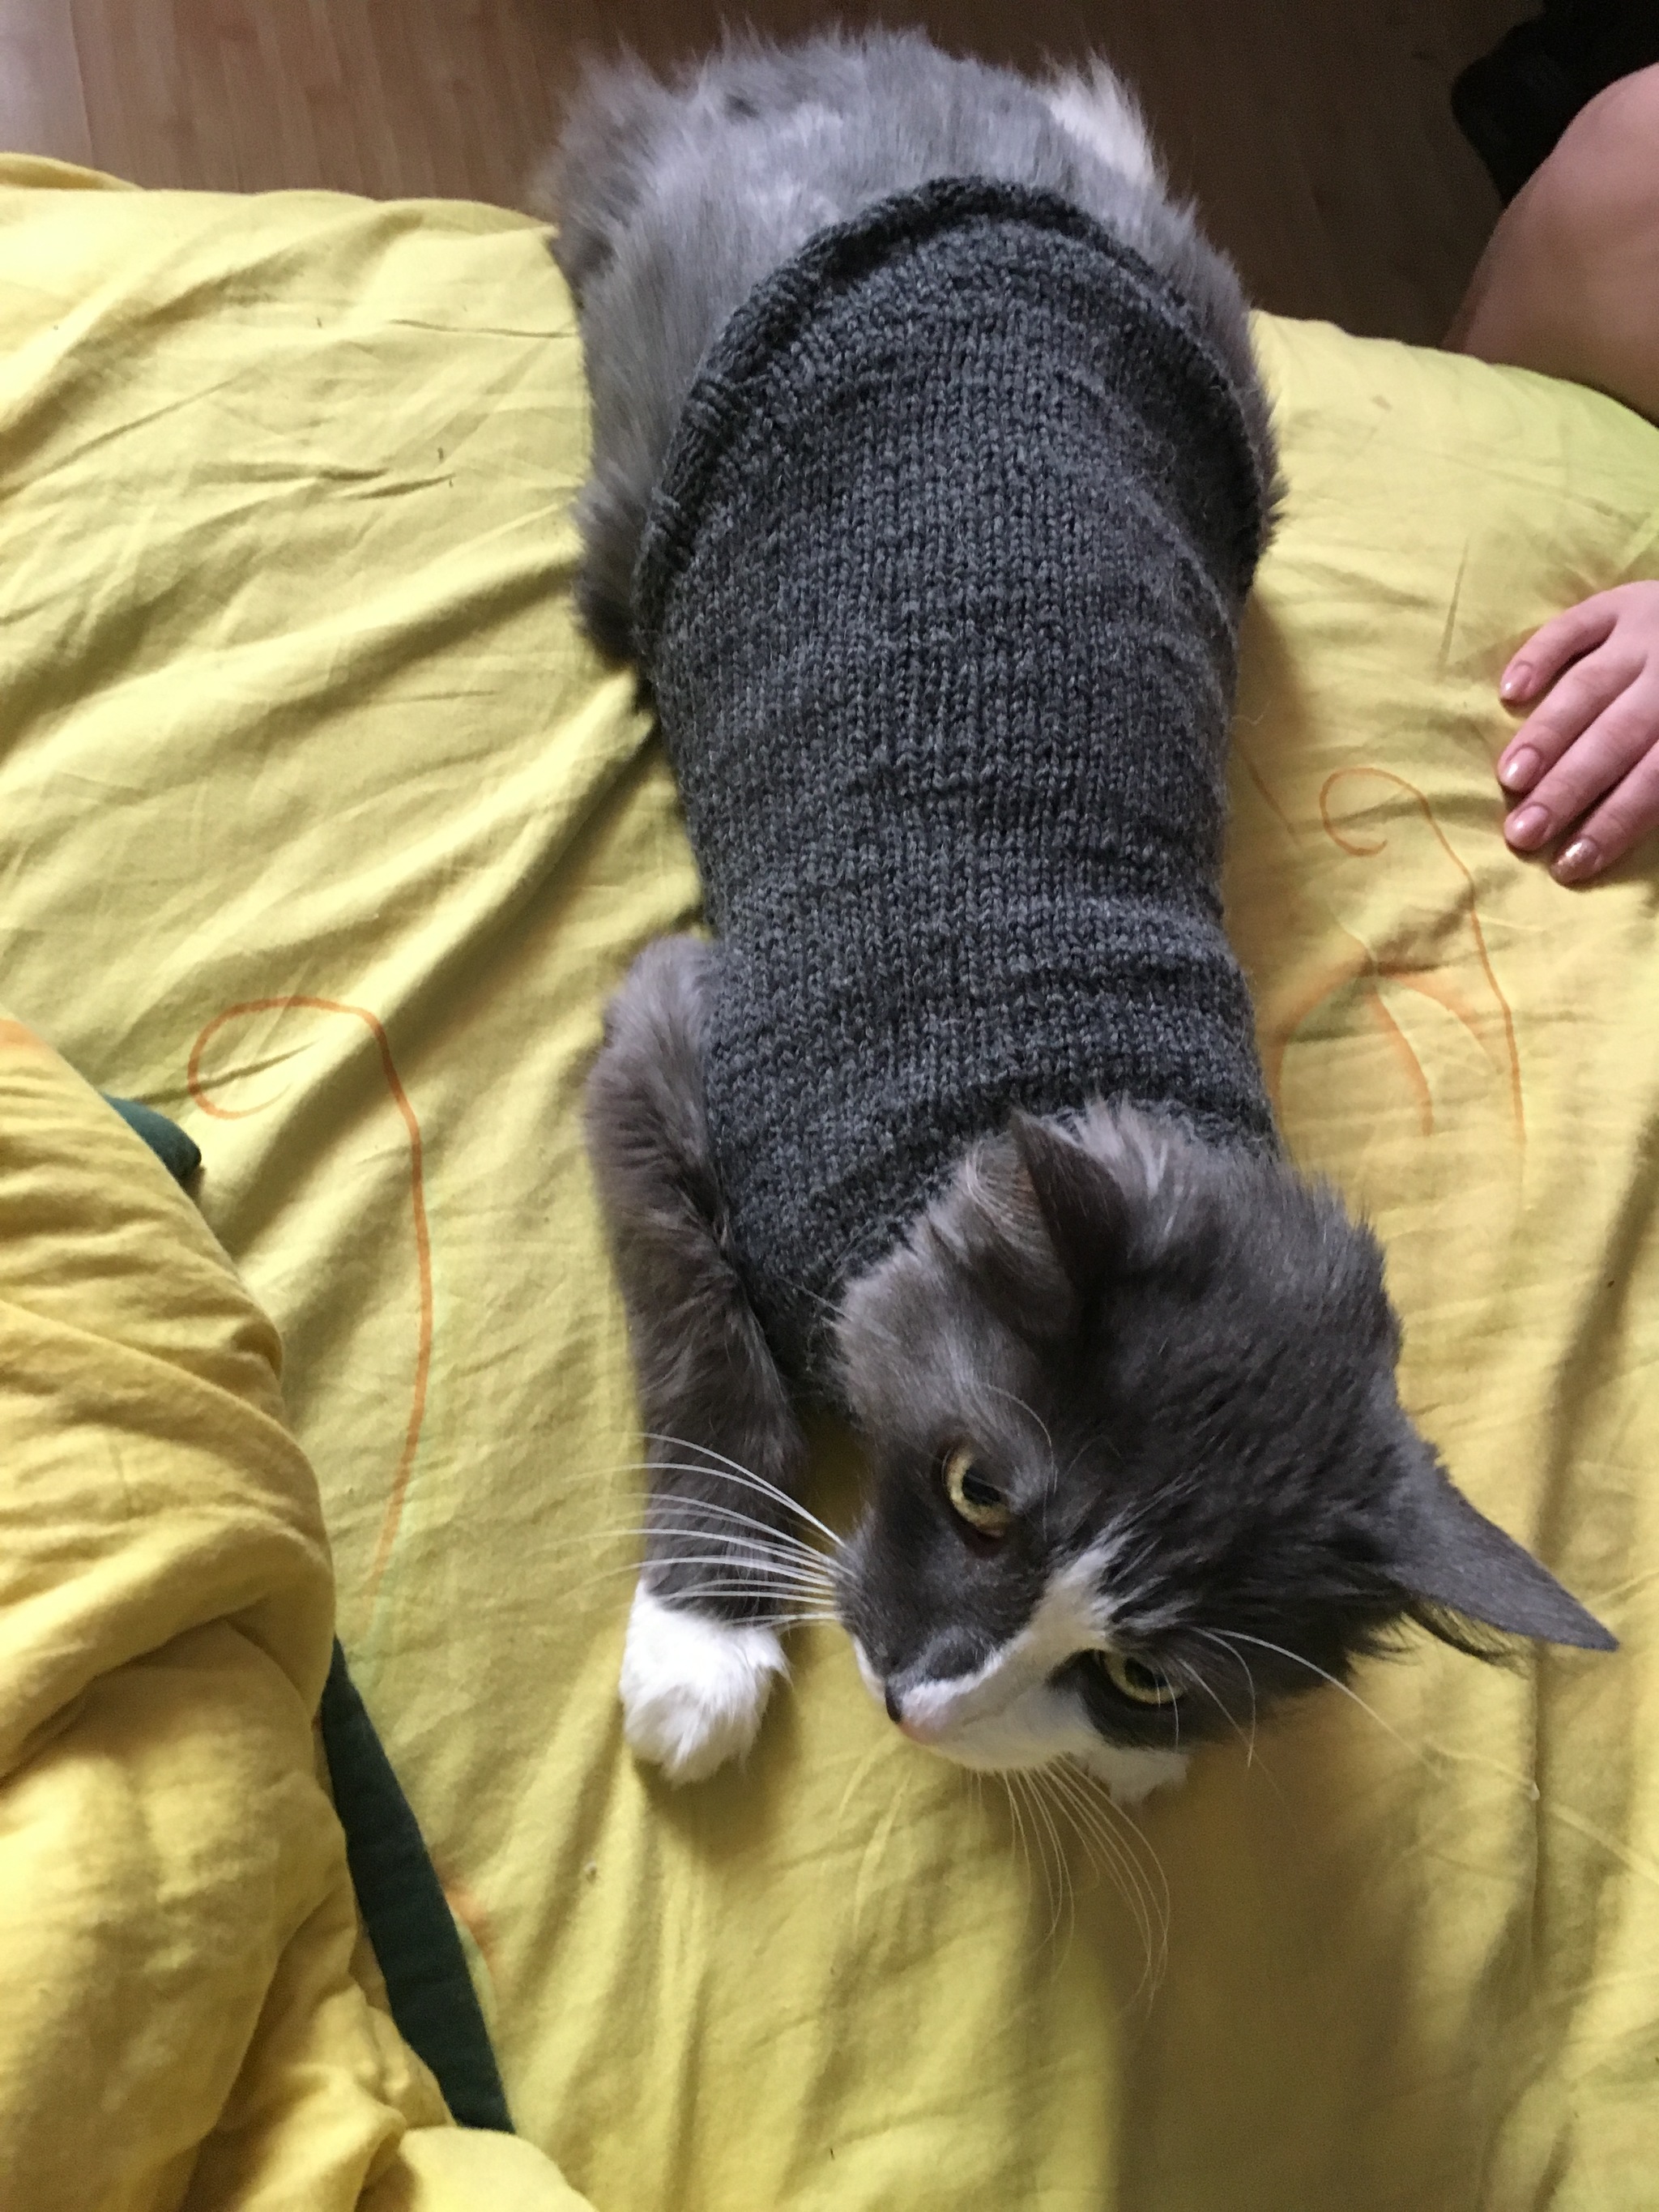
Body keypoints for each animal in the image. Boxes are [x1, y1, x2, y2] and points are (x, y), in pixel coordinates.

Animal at [535, 30, 1614, 1799]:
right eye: (980, 1493)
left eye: (1137, 1675)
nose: (919, 1701)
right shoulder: (666, 1041)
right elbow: (710, 1369)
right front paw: (699, 1651)